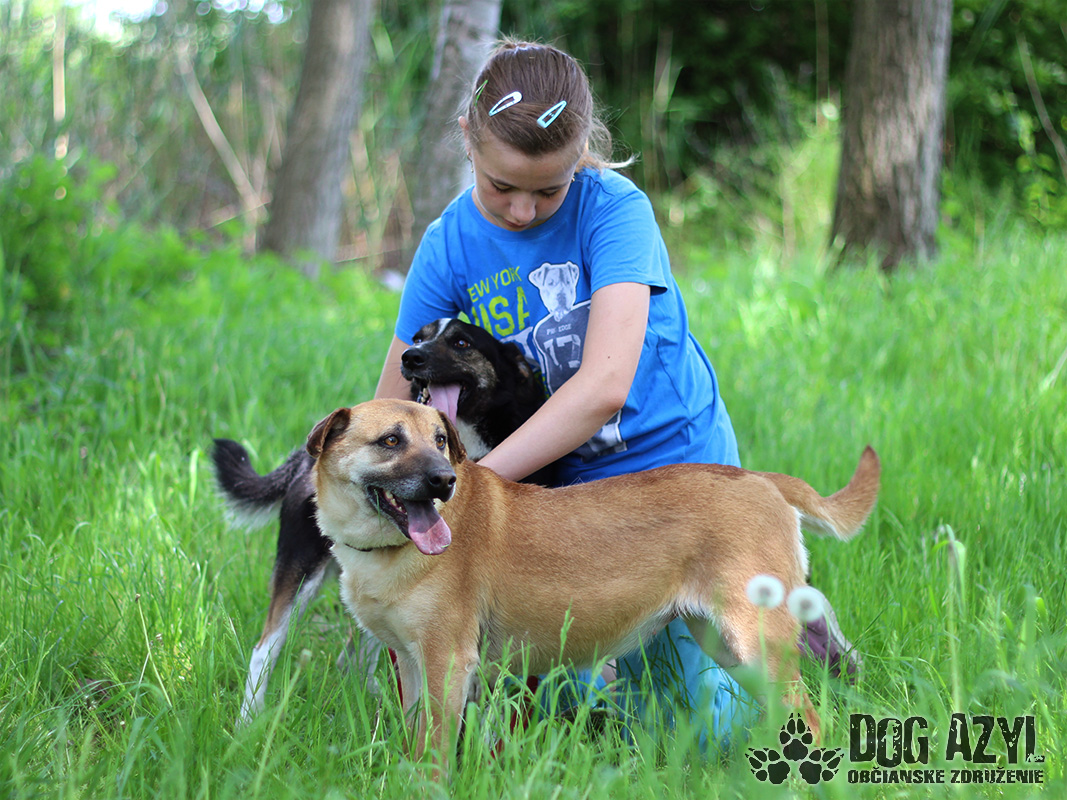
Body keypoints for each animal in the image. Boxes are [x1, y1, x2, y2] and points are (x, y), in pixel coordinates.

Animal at [213, 318, 547, 723]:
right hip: (300, 571)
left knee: (354, 657)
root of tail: (307, 456)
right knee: (265, 649)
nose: (411, 356)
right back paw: (249, 721)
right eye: (419, 336)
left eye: (462, 343)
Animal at [307, 399, 880, 772]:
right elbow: (415, 741)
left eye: (441, 442)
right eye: (390, 441)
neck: (386, 551)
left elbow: (434, 754)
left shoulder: (446, 663)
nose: (444, 481)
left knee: (814, 719)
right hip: (731, 648)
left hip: (756, 644)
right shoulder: (411, 663)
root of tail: (761, 479)